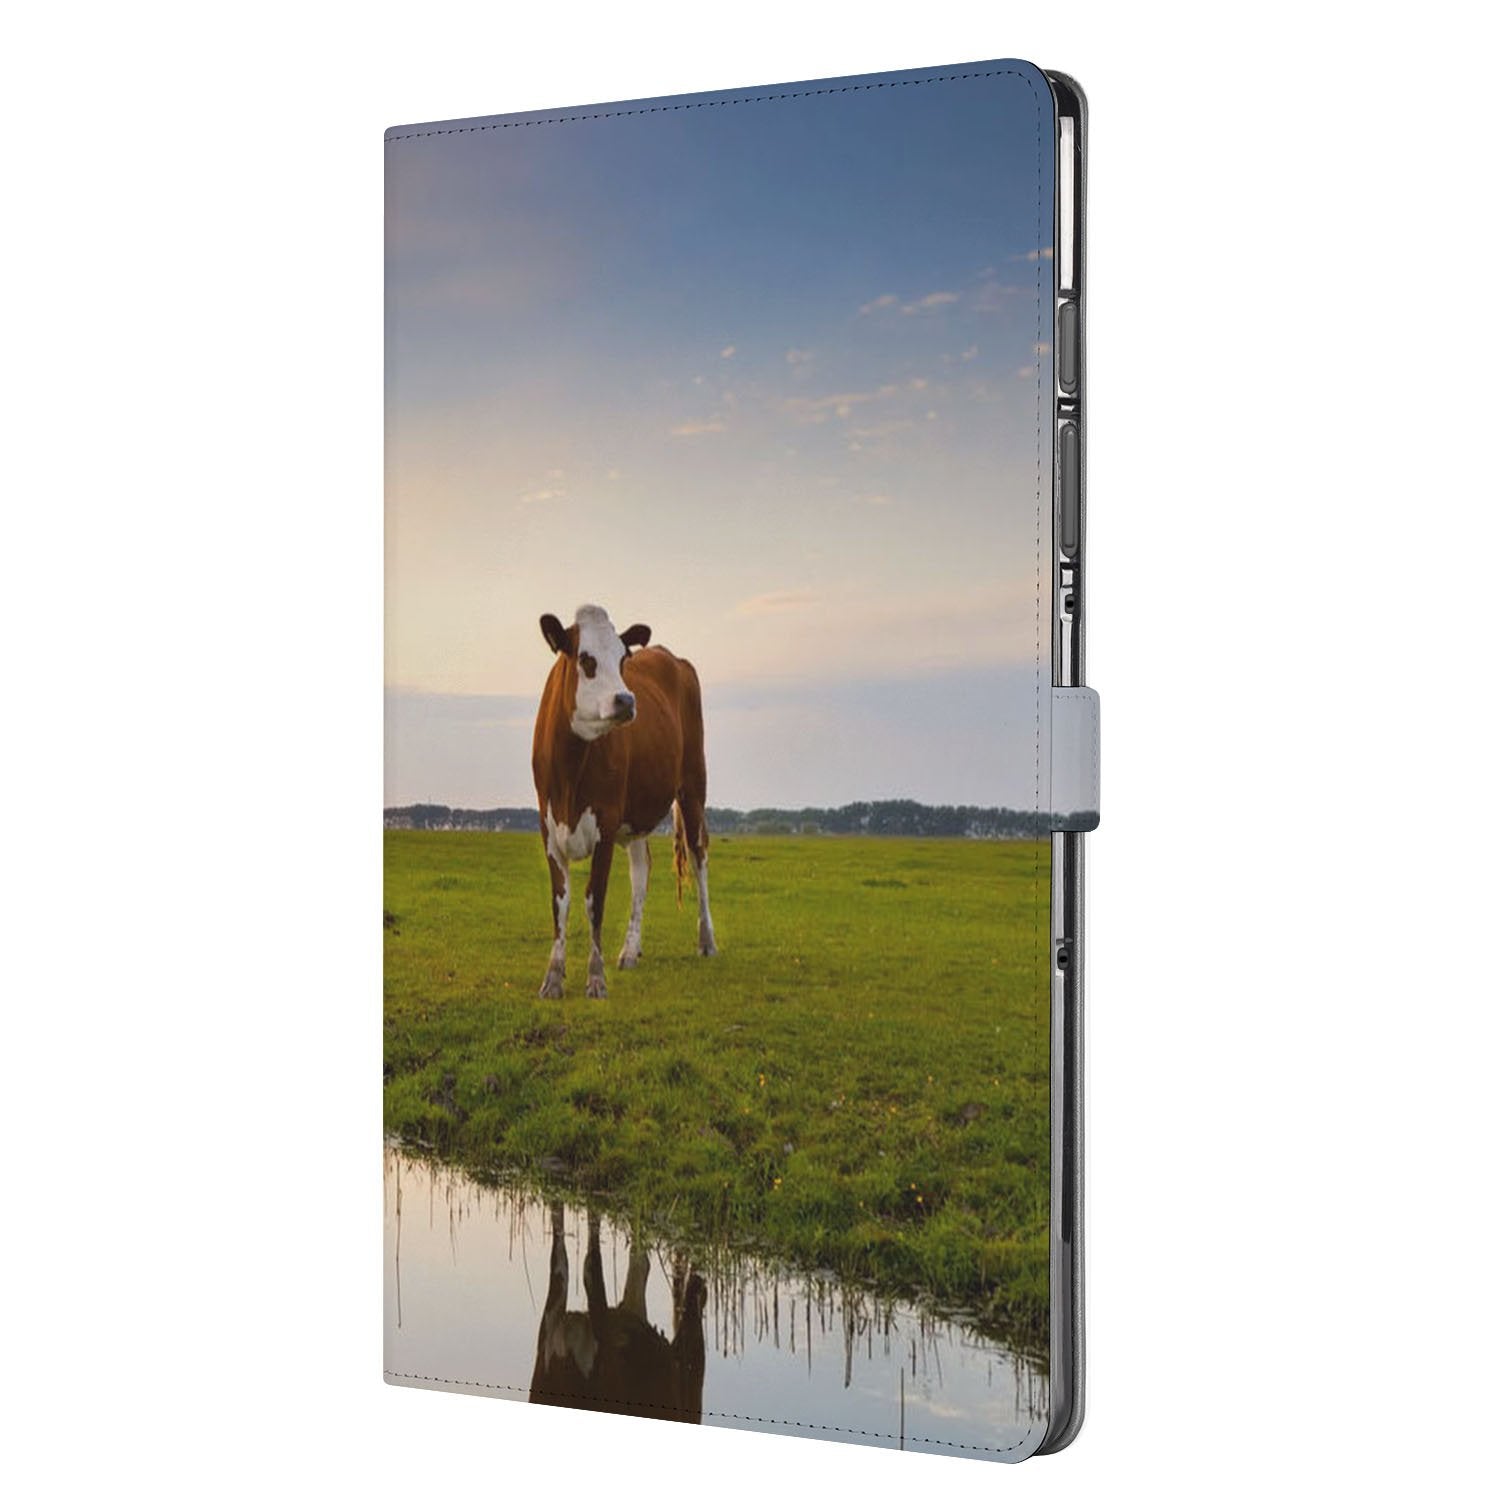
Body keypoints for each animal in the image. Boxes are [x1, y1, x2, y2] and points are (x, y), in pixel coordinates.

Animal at [532, 604, 717, 999]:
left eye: (622, 659)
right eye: (586, 659)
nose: (627, 700)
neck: (571, 766)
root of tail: (670, 655)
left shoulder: (606, 820)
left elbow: (594, 900)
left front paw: (595, 978)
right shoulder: (548, 826)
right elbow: (561, 902)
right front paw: (553, 977)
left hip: (693, 787)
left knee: (699, 858)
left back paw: (707, 941)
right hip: (636, 816)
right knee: (641, 870)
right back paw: (631, 950)